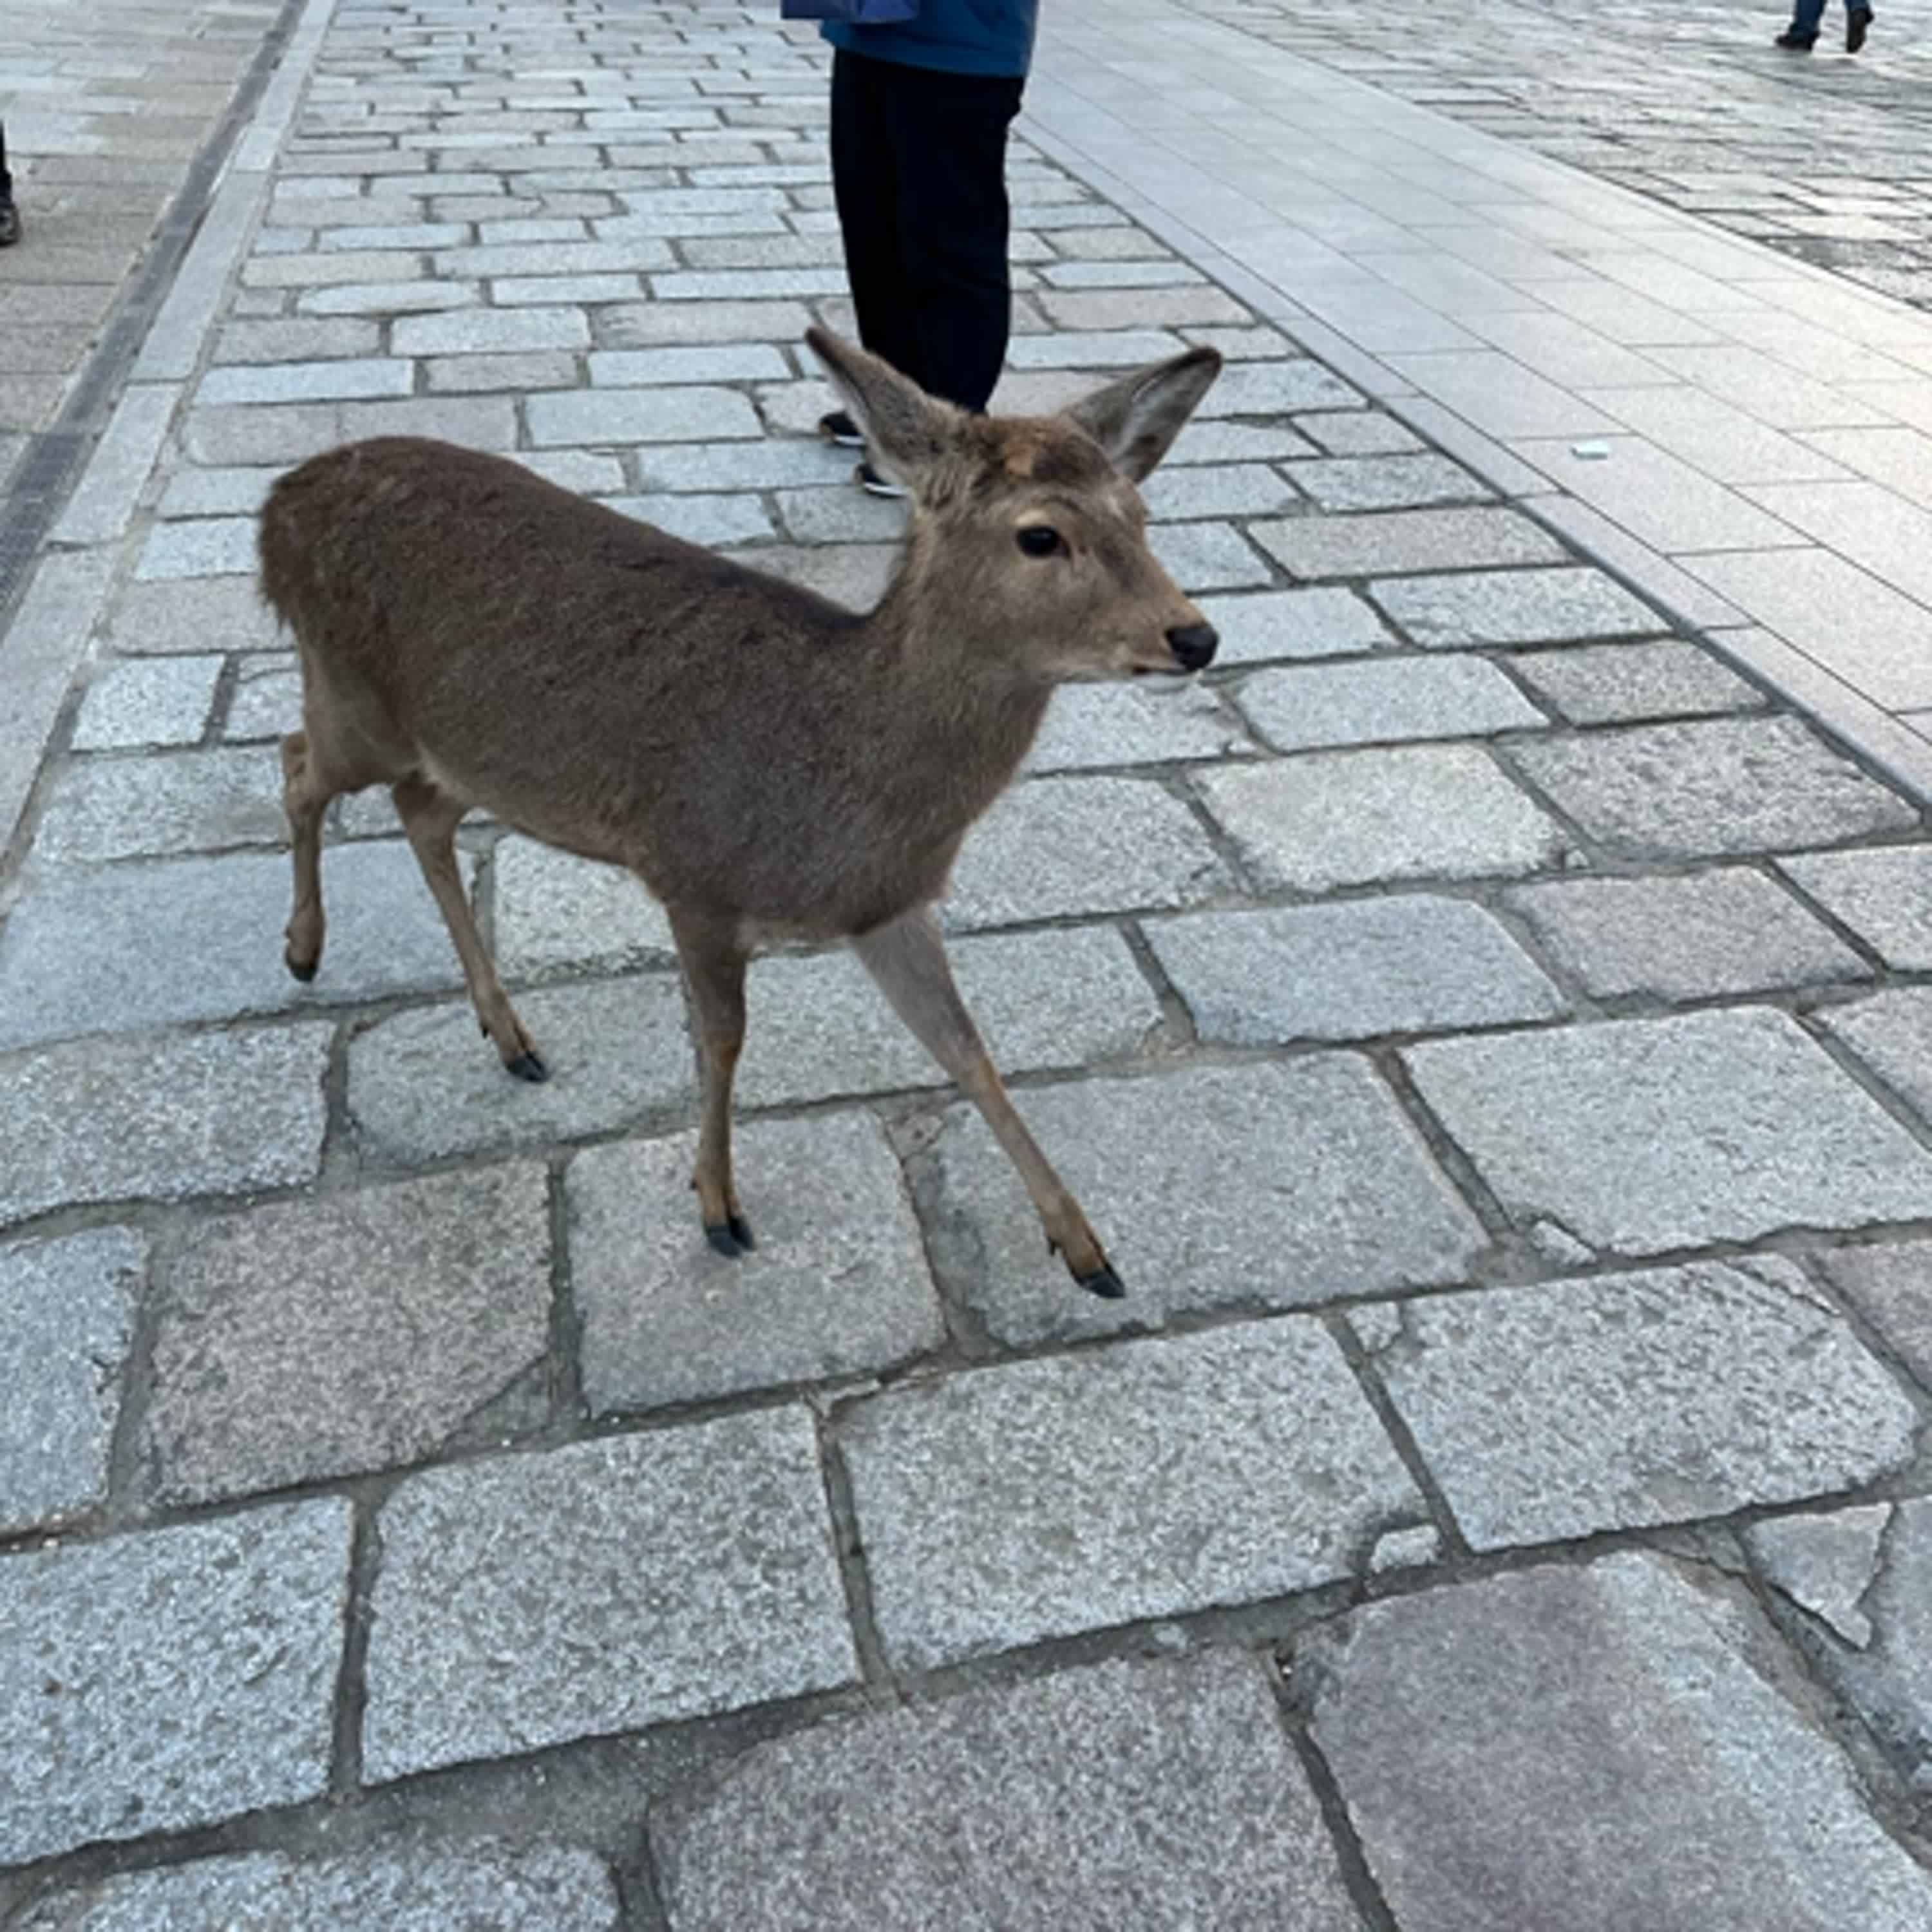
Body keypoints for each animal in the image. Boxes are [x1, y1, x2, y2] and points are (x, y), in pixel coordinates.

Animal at [258, 327, 1221, 1299]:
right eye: (1040, 535)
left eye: (1140, 516)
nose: (1195, 636)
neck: (836, 788)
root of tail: (278, 505)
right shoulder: (696, 877)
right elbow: (723, 1040)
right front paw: (719, 1207)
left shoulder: (891, 906)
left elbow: (966, 1048)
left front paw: (1088, 1250)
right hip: (353, 700)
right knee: (297, 764)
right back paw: (302, 950)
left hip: (457, 751)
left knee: (420, 812)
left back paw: (509, 1036)